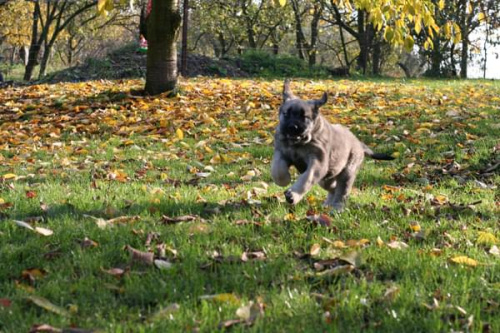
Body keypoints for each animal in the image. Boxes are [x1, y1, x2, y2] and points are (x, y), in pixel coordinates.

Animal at [272, 80, 392, 210]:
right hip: (327, 177)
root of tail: (358, 143)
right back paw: (327, 204)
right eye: (286, 114)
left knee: (342, 191)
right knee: (333, 188)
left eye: (304, 117)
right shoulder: (281, 152)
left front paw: (293, 195)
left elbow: (306, 178)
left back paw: (336, 208)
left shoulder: (318, 163)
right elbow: (277, 170)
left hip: (347, 172)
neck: (298, 144)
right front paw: (284, 180)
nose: (292, 127)